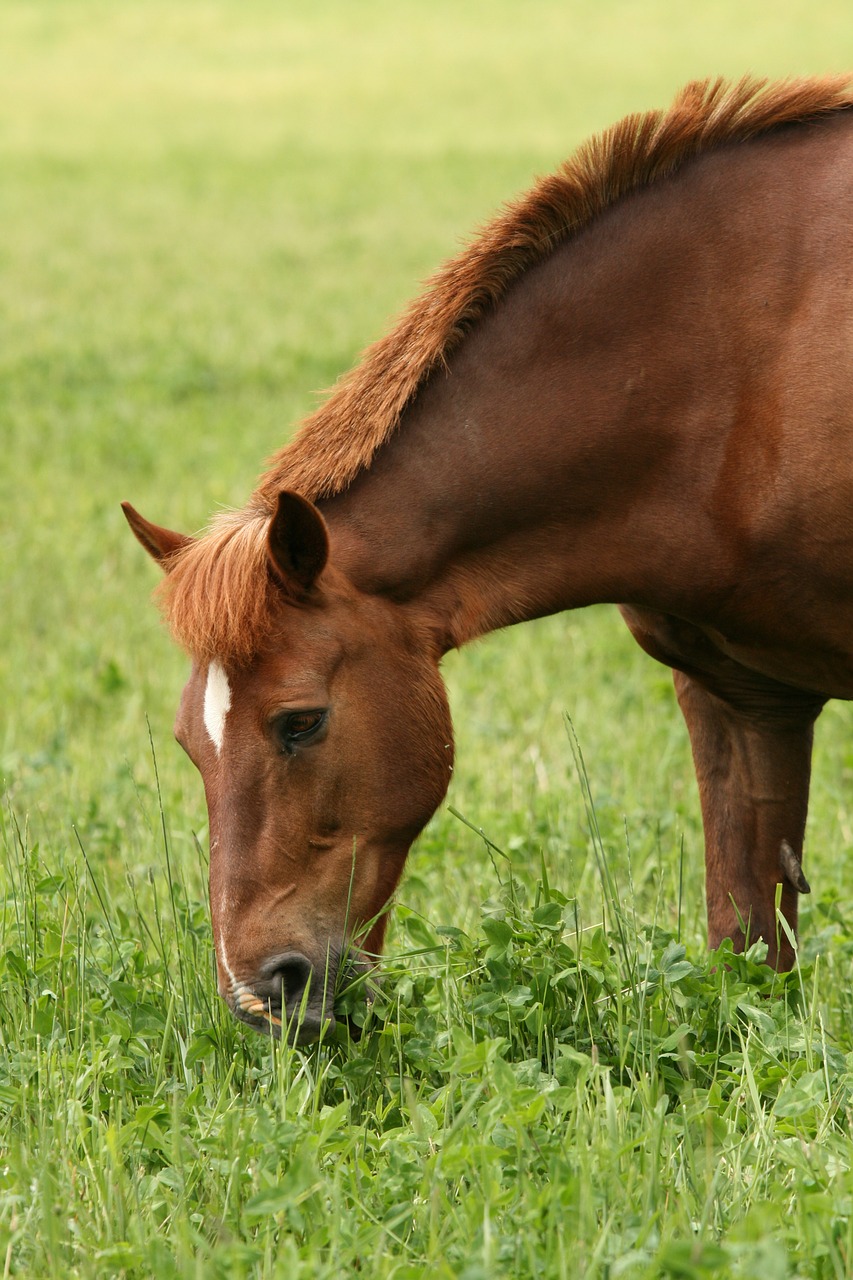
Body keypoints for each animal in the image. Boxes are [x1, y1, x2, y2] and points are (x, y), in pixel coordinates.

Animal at [124, 74, 850, 1039]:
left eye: (300, 722)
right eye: (186, 743)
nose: (259, 992)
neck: (746, 359)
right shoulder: (740, 697)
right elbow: (747, 947)